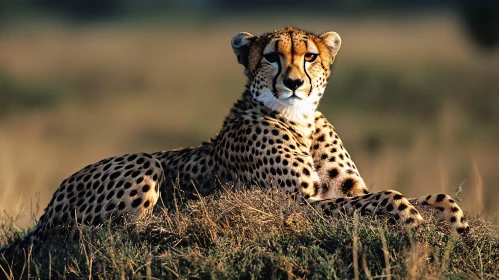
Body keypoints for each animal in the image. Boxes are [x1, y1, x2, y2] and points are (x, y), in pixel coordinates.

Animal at [0, 27, 470, 260]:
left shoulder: (346, 191)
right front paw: (414, 223)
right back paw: (177, 221)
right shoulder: (295, 207)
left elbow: (439, 196)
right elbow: (390, 196)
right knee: (108, 233)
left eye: (310, 56)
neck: (301, 121)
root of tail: (47, 209)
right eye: (272, 57)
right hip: (143, 163)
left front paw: (458, 229)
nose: (294, 84)